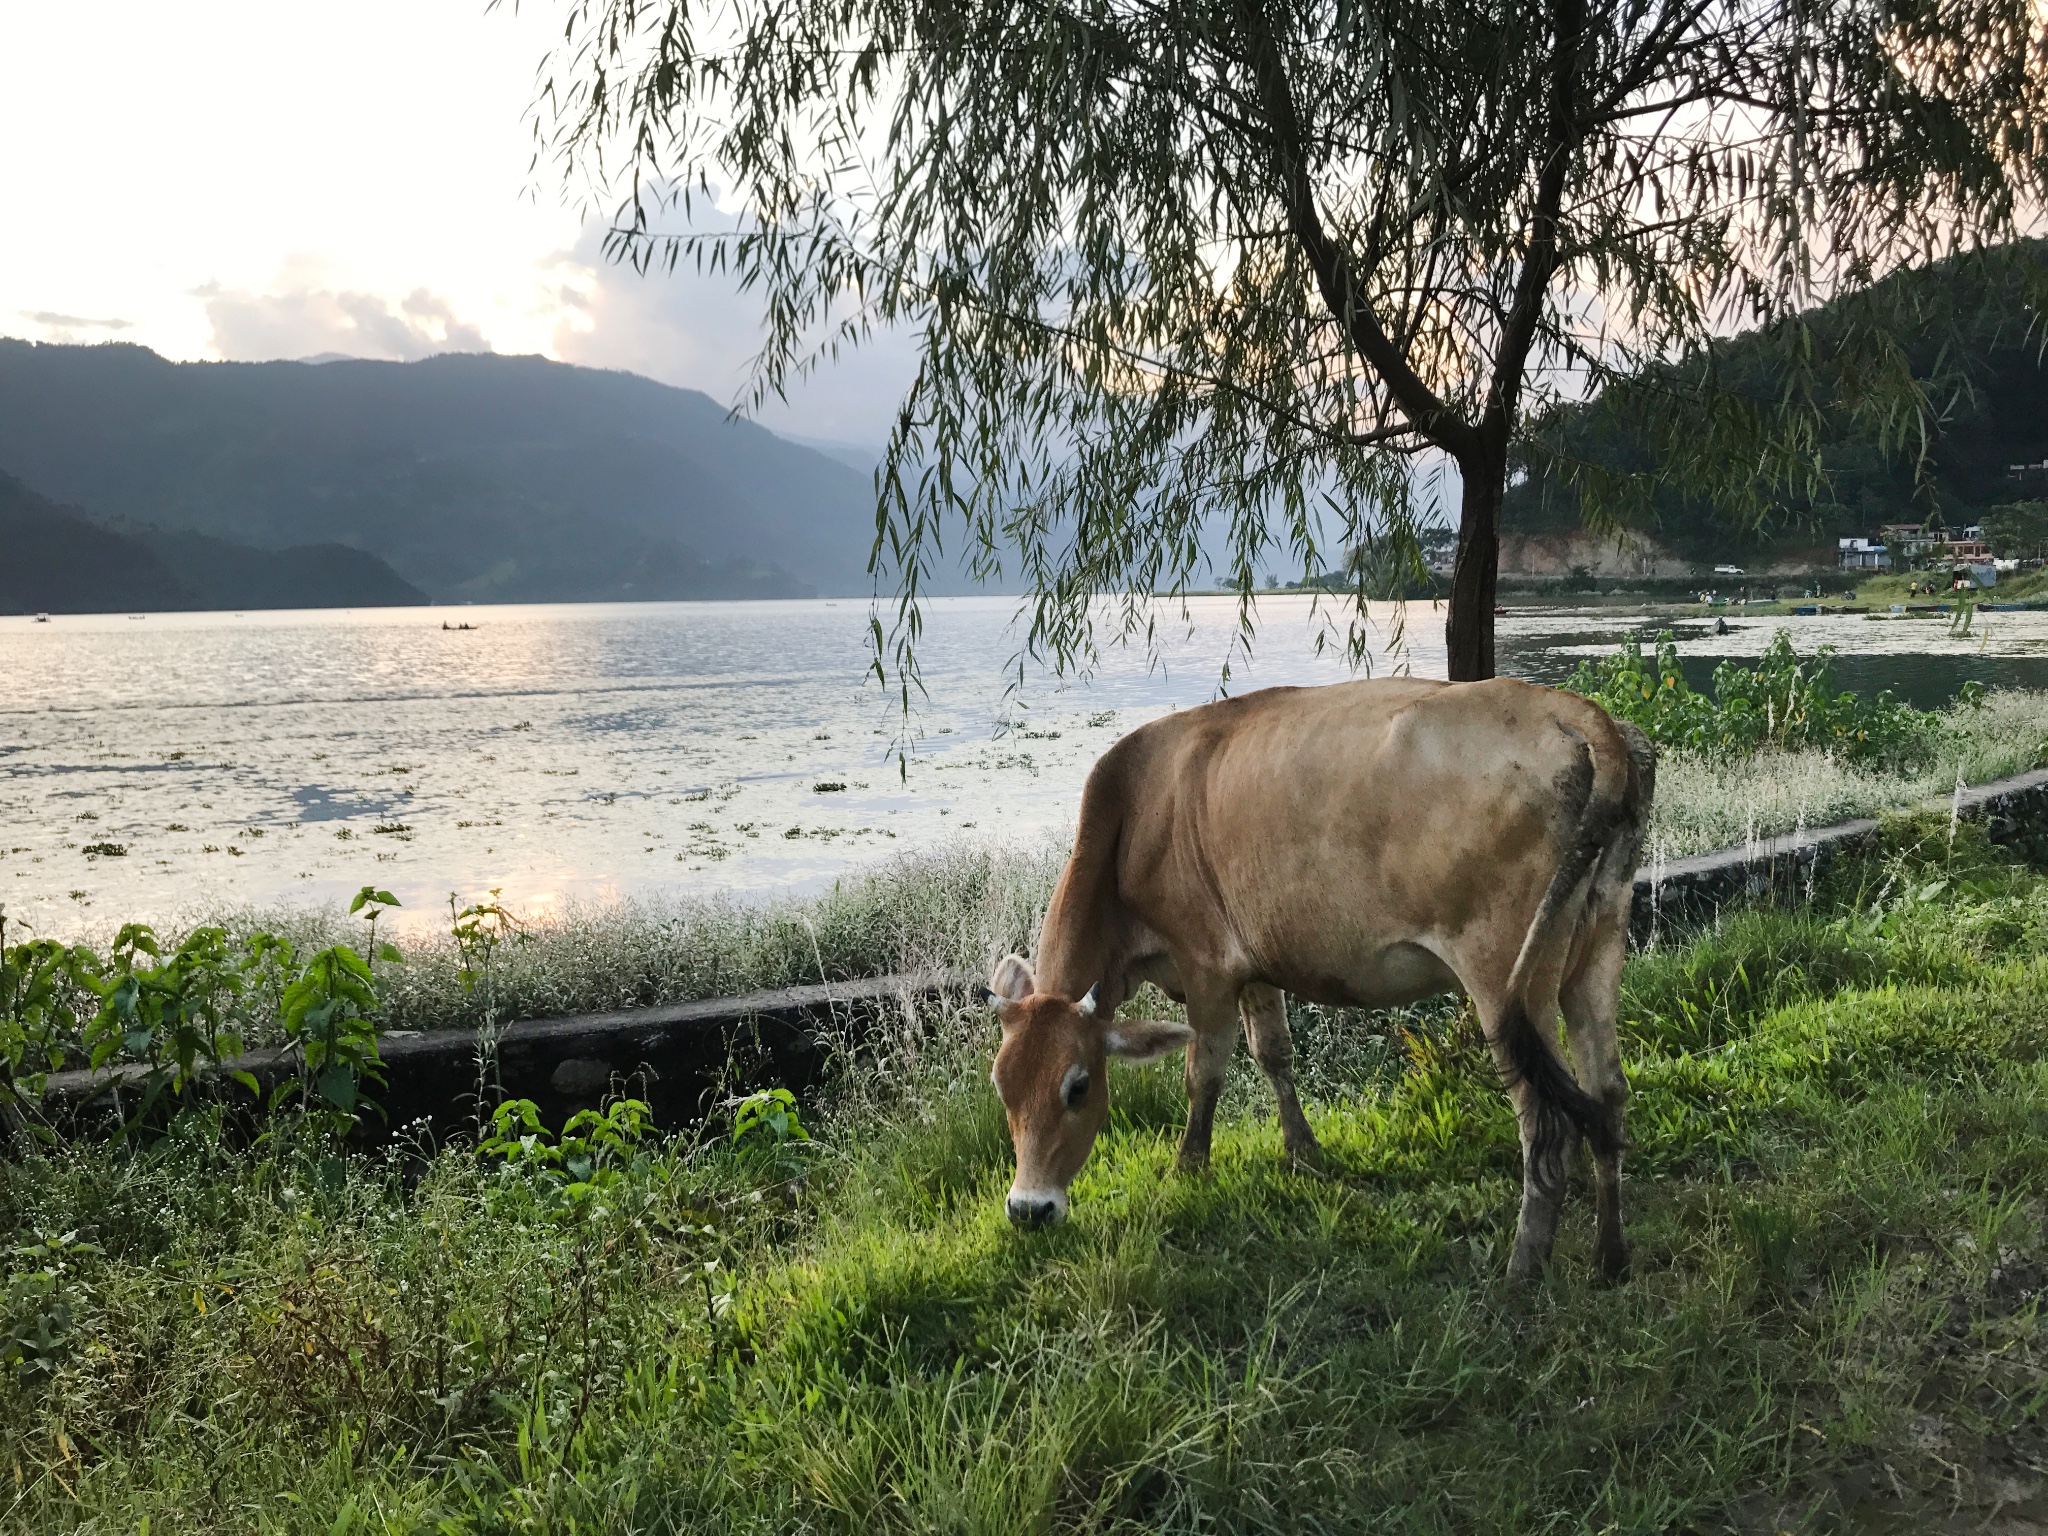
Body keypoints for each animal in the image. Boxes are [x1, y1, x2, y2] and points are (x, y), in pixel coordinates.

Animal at [983, 679, 1654, 1277]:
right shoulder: (1254, 963)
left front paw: (1188, 1168)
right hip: (1596, 951)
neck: (1133, 812)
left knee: (1547, 1123)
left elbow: (1204, 1070)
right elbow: (1274, 1053)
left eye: (1077, 1088)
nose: (1028, 1209)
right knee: (1607, 1093)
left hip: (1506, 975)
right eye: (1002, 1088)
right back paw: (1610, 1258)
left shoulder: (1206, 964)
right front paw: (1303, 1152)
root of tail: (1576, 712)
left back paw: (1522, 1270)